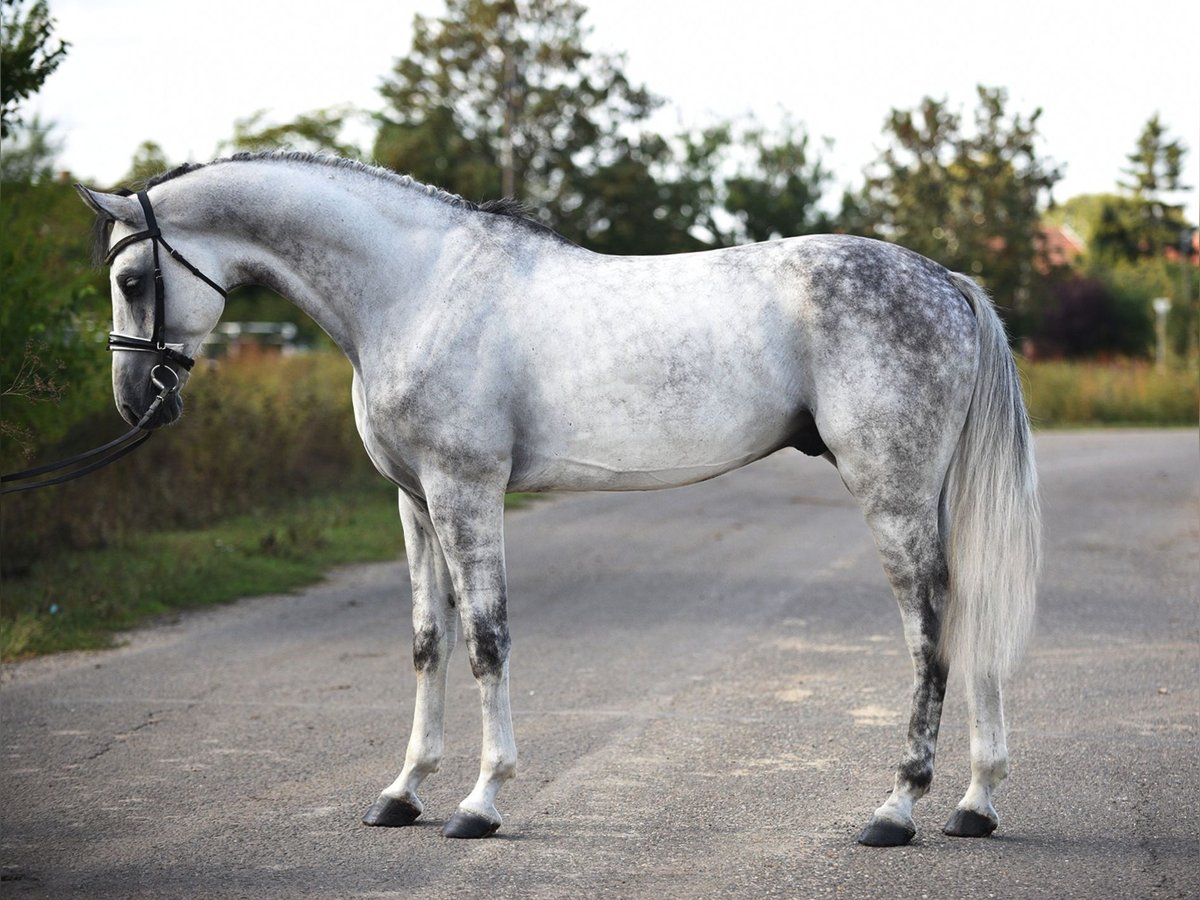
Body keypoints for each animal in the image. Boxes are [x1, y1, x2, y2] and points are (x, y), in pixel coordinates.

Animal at [82, 151, 1041, 849]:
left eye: (132, 281)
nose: (136, 401)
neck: (414, 287)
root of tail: (947, 281)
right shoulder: (413, 501)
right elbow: (429, 642)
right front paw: (402, 793)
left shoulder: (465, 489)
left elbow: (486, 639)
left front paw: (480, 801)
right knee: (969, 612)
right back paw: (976, 802)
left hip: (893, 493)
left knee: (929, 630)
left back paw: (897, 809)